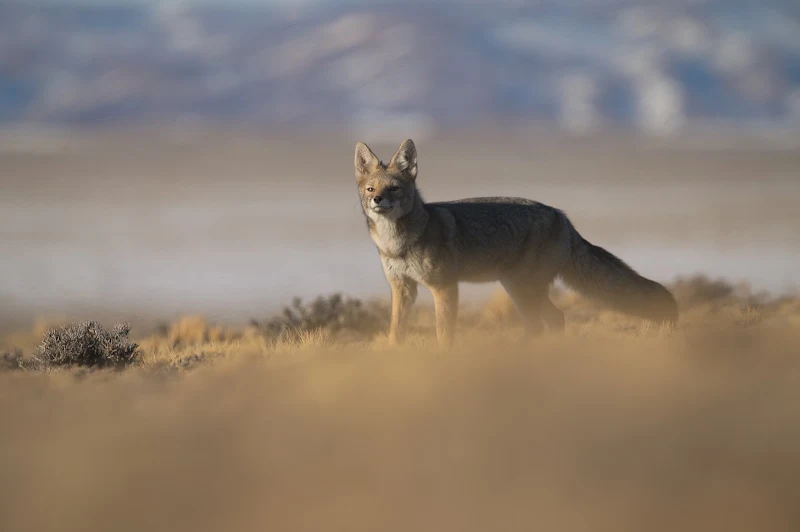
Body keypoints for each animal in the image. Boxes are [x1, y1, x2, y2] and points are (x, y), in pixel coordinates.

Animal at [354, 138, 679, 346]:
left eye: (394, 188)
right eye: (371, 188)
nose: (377, 200)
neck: (398, 243)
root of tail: (562, 217)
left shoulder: (444, 287)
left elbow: (444, 334)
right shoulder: (403, 289)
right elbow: (396, 333)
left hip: (523, 290)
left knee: (544, 323)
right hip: (518, 289)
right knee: (554, 319)